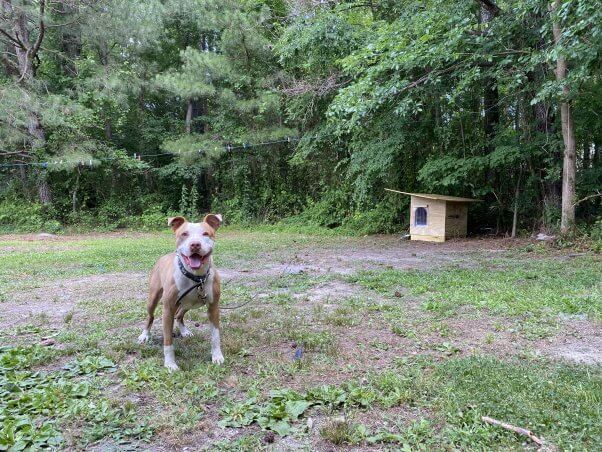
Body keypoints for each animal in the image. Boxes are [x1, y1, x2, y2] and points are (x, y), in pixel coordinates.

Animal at [137, 213, 224, 370]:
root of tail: (165, 255)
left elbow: (215, 335)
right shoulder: (168, 309)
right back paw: (144, 335)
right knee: (151, 316)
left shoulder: (214, 307)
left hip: (188, 304)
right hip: (153, 298)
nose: (195, 244)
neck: (196, 278)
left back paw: (184, 331)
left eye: (205, 233)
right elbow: (167, 341)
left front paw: (217, 356)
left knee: (179, 315)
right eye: (184, 234)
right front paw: (170, 364)